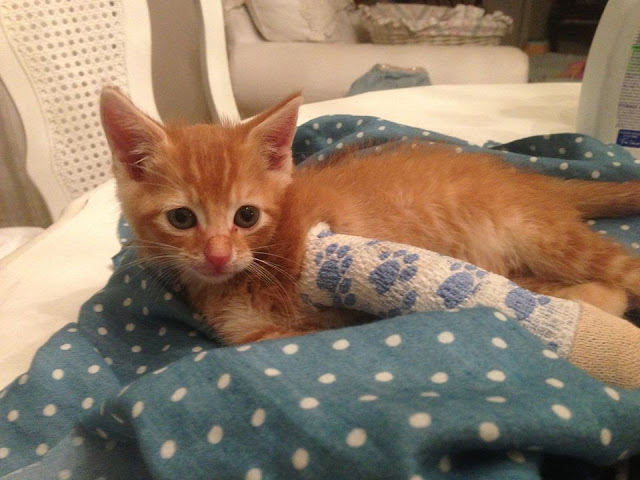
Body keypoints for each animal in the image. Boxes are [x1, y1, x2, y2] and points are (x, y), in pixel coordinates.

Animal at [100, 86, 640, 345]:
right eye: (182, 220)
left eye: (247, 216)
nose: (216, 256)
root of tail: (524, 176)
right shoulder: (251, 333)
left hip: (544, 236)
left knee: (619, 268)